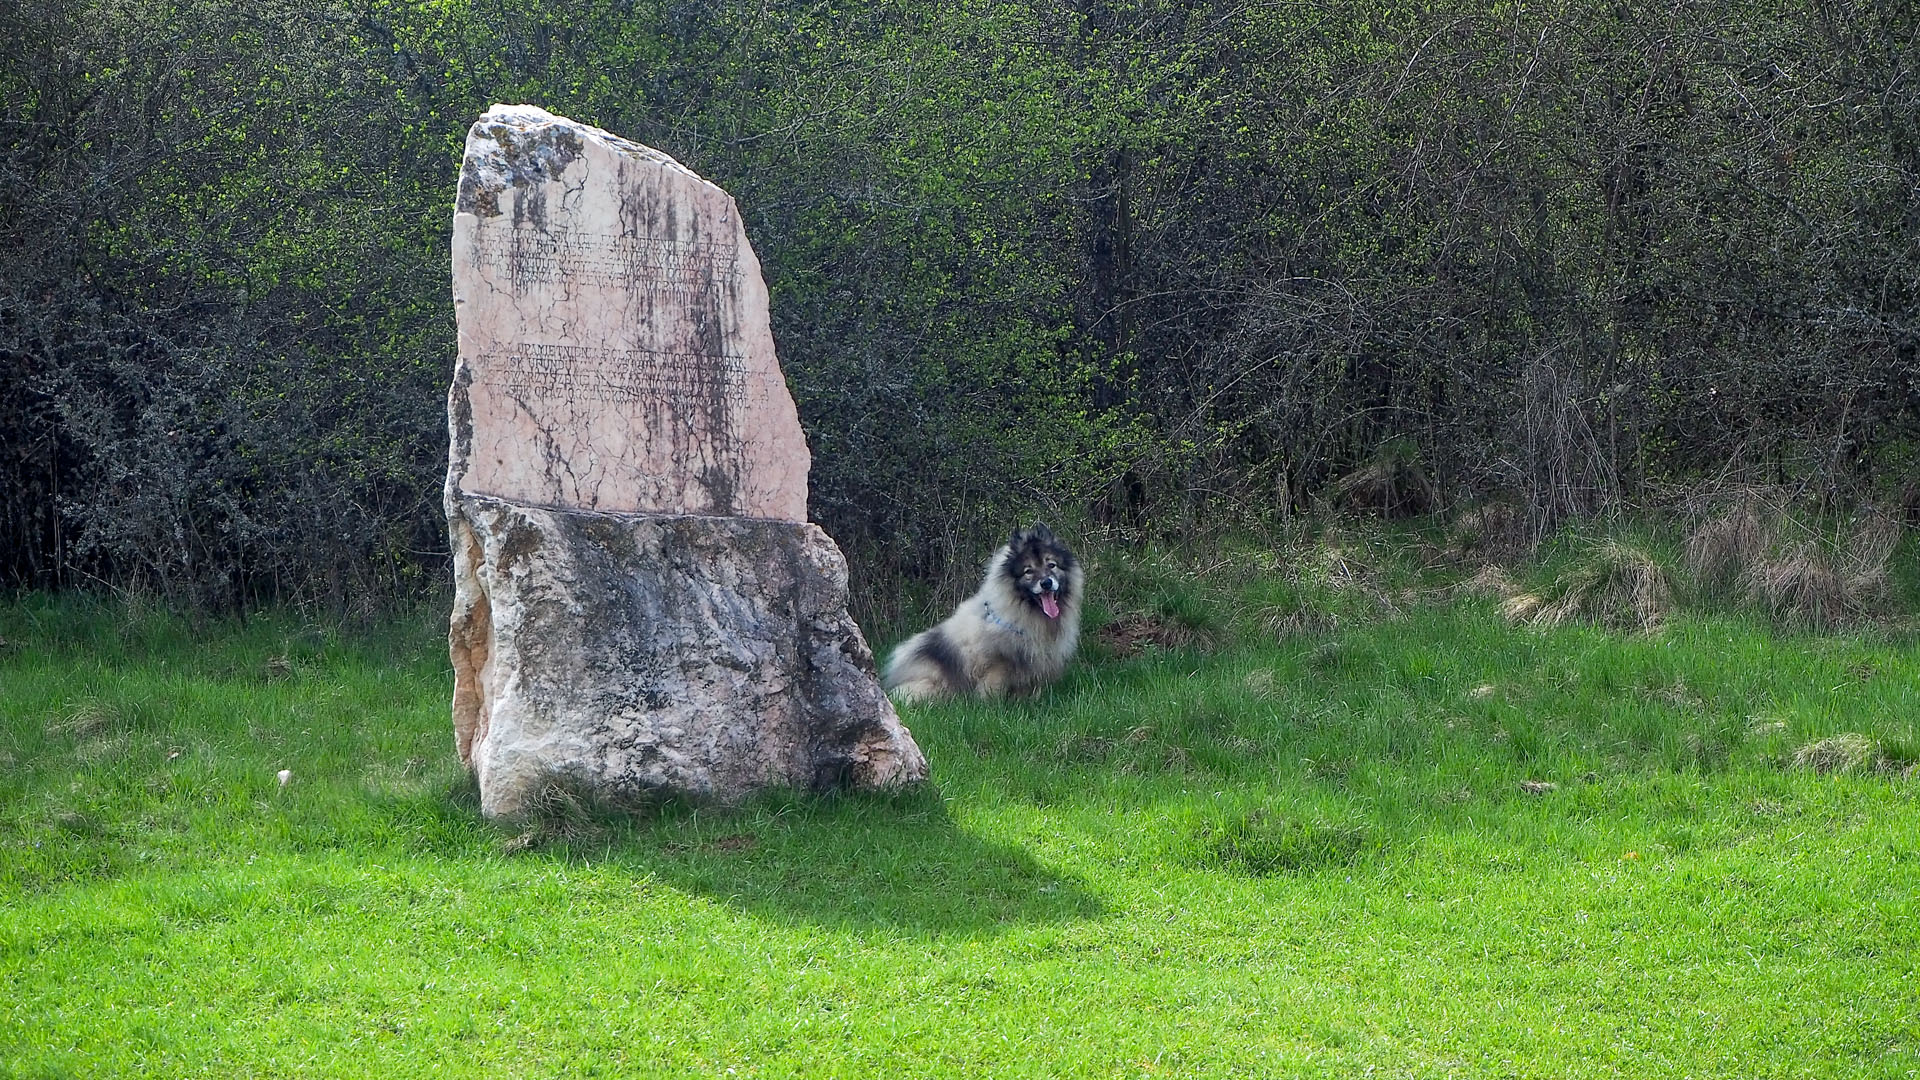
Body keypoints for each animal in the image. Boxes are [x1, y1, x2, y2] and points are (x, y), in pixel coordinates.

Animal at [879, 518, 1082, 703]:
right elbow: (993, 688)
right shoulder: (997, 663)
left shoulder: (1036, 662)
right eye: (1028, 571)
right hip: (932, 687)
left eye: (1051, 565)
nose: (1046, 582)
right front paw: (991, 706)